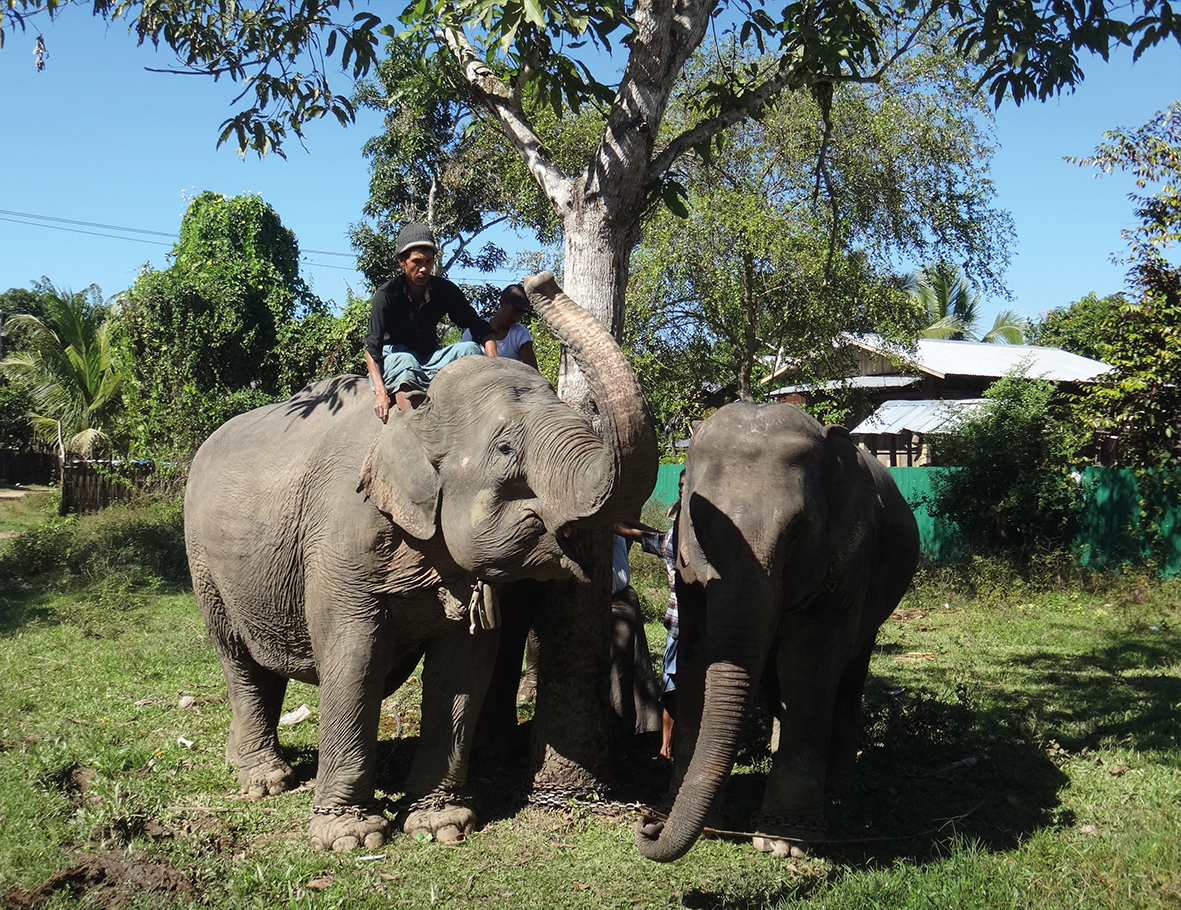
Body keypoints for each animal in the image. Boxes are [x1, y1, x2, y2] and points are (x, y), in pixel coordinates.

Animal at [184, 272, 656, 854]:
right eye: (506, 450)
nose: (538, 280)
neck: (417, 415)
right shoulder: (340, 537)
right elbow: (353, 655)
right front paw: (350, 838)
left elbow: (465, 664)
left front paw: (442, 825)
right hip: (204, 563)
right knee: (238, 658)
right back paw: (265, 780)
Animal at [637, 401, 921, 863]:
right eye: (699, 526)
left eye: (798, 530)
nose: (647, 824)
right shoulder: (686, 571)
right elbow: (698, 657)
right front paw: (699, 820)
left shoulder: (845, 568)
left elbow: (806, 667)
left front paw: (784, 841)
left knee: (848, 678)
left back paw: (838, 788)